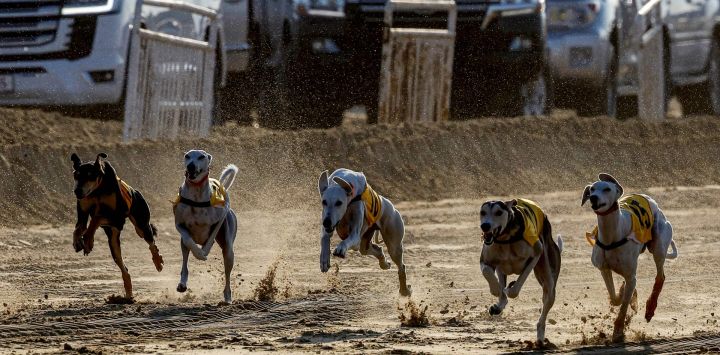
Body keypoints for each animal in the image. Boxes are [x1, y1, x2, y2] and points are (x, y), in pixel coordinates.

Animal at [70, 153, 165, 300]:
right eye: (76, 175)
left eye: (90, 175)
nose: (77, 191)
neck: (97, 190)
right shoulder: (84, 214)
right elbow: (79, 228)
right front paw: (79, 242)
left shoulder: (117, 218)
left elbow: (96, 219)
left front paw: (88, 240)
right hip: (113, 241)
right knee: (124, 268)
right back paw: (128, 293)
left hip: (141, 225)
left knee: (151, 243)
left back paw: (157, 261)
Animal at [173, 149, 238, 304]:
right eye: (187, 156)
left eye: (201, 156)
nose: (190, 166)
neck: (196, 194)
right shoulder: (179, 224)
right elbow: (188, 239)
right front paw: (199, 253)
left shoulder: (220, 219)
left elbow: (210, 238)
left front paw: (203, 252)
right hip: (183, 246)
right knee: (185, 260)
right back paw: (182, 283)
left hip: (228, 250)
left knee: (227, 273)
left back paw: (228, 297)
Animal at [316, 168, 410, 296]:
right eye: (324, 202)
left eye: (339, 202)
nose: (326, 222)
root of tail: (392, 206)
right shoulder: (328, 226)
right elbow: (325, 238)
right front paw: (324, 260)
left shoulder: (355, 235)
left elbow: (347, 240)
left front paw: (340, 248)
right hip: (365, 243)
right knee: (375, 249)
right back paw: (384, 263)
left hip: (394, 244)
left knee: (401, 265)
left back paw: (404, 290)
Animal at [480, 200, 564, 348]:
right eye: (482, 212)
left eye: (498, 212)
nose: (485, 226)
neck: (506, 237)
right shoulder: (486, 260)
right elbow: (487, 272)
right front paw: (495, 289)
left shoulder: (536, 254)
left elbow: (516, 288)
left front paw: (510, 288)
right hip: (502, 270)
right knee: (503, 296)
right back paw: (498, 306)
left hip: (548, 281)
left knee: (544, 309)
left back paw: (540, 339)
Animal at [584, 174, 676, 344]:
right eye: (592, 189)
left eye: (607, 189)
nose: (593, 198)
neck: (612, 235)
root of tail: (652, 201)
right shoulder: (604, 269)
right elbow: (615, 298)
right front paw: (623, 293)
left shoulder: (631, 275)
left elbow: (623, 306)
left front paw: (618, 332)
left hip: (659, 246)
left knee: (660, 276)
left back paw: (650, 308)